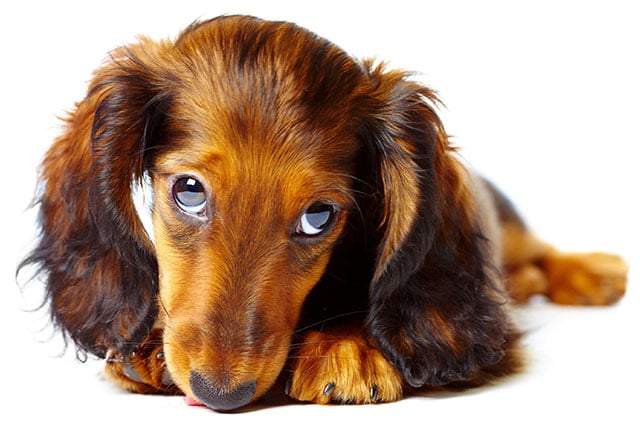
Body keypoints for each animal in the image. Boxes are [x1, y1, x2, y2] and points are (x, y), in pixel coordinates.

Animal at [21, 15, 632, 412]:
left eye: (319, 216)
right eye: (189, 192)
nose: (221, 394)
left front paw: (348, 345)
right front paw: (146, 341)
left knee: (539, 251)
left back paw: (594, 272)